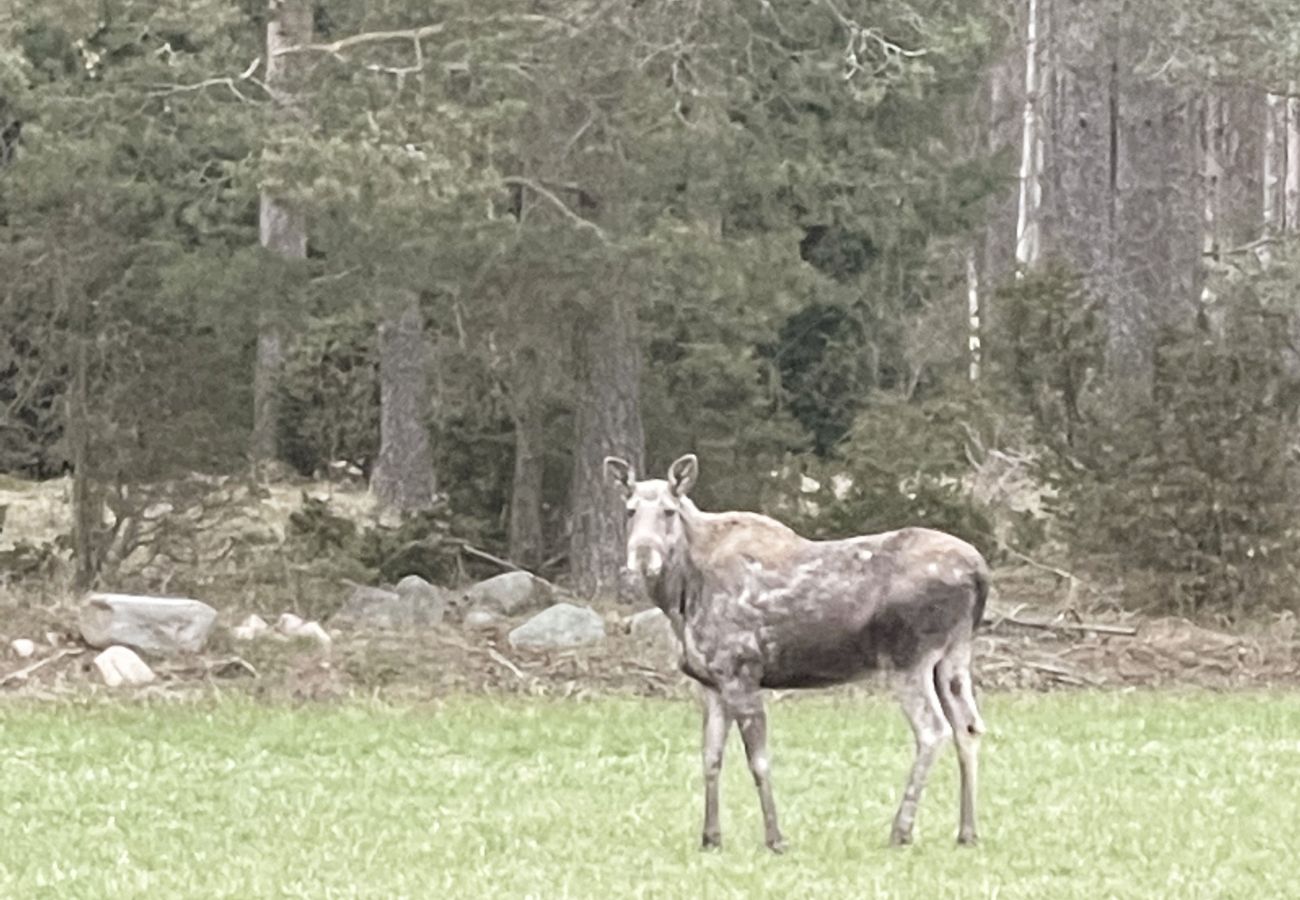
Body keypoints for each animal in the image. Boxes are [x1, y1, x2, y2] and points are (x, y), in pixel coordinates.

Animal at [603, 452, 987, 853]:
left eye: (668, 511)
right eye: (630, 510)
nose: (643, 558)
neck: (680, 599)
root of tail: (980, 572)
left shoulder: (740, 670)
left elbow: (758, 761)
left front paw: (775, 838)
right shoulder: (709, 683)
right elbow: (710, 758)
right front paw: (710, 837)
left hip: (909, 659)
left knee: (933, 730)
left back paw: (901, 830)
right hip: (953, 658)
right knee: (969, 727)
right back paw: (967, 831)